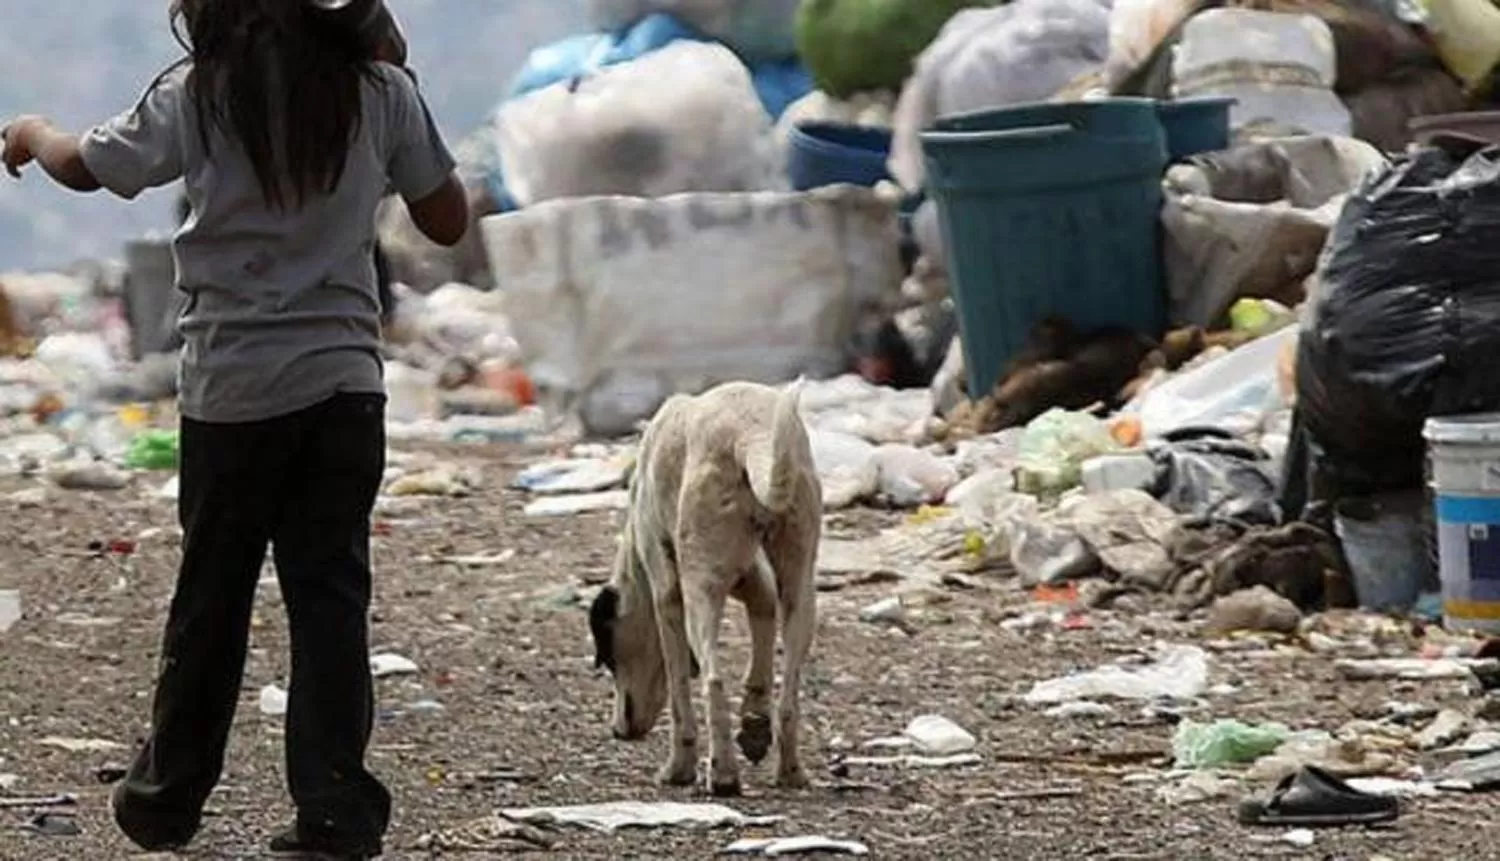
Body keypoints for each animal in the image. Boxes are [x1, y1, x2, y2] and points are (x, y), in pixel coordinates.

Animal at [585, 381, 822, 798]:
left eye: (610, 658)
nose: (618, 732)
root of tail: (751, 434)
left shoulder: (667, 596)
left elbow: (679, 687)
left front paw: (679, 767)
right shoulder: (751, 578)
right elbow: (762, 614)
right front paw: (755, 721)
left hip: (701, 591)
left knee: (712, 680)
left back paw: (723, 773)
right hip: (800, 587)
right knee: (789, 694)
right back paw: (790, 770)